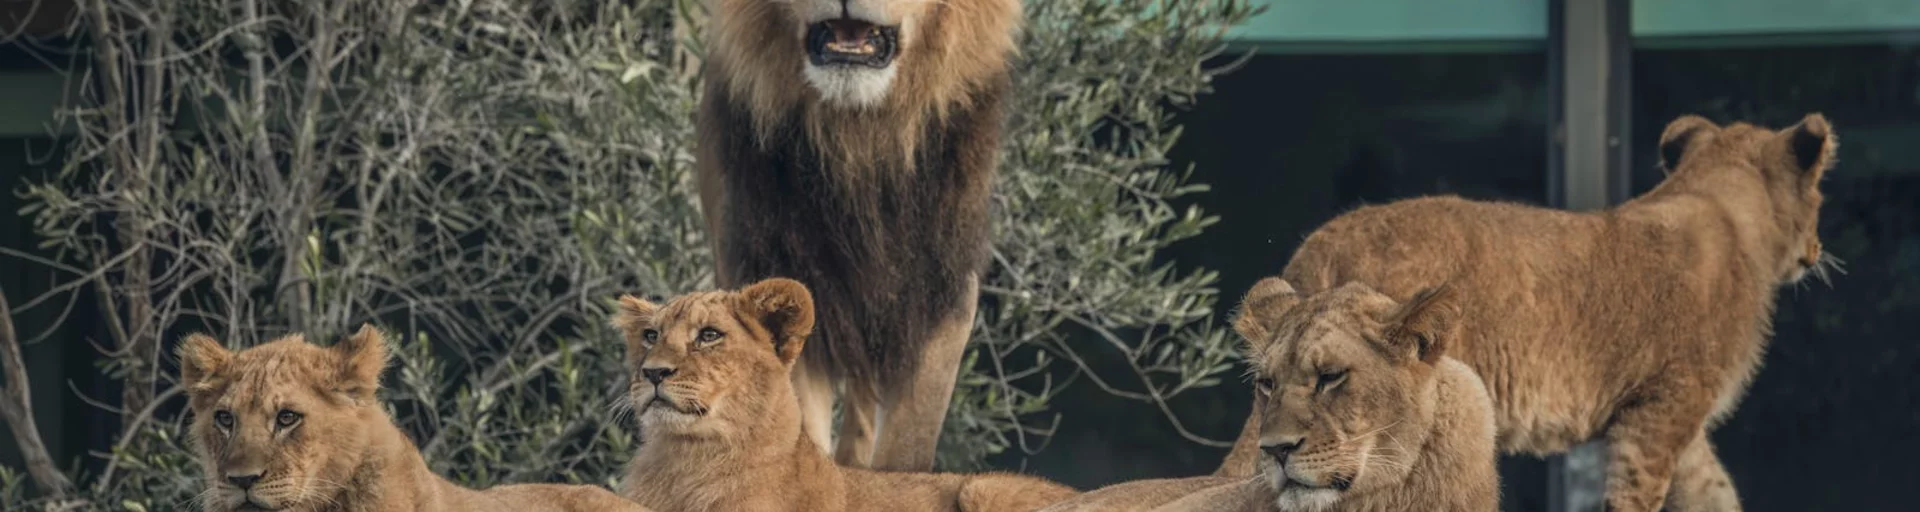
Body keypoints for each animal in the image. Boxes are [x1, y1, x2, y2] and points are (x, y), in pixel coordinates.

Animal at [1218, 113, 1840, 511]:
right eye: (1820, 197)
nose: (1817, 249)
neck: (1723, 207)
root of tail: (1321, 244)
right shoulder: (1662, 407)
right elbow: (1637, 495)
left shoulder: (1674, 419)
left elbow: (1717, 493)